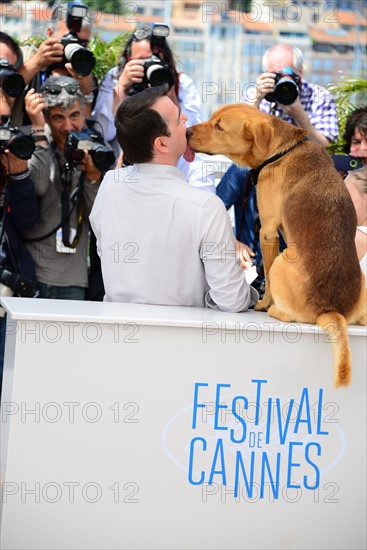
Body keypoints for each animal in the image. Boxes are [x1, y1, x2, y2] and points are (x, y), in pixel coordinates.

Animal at [188, 103, 366, 388]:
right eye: (212, 118)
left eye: (219, 126)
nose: (185, 132)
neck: (280, 150)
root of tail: (331, 310)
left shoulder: (268, 231)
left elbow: (268, 282)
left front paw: (262, 304)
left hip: (283, 258)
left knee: (287, 310)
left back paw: (273, 310)